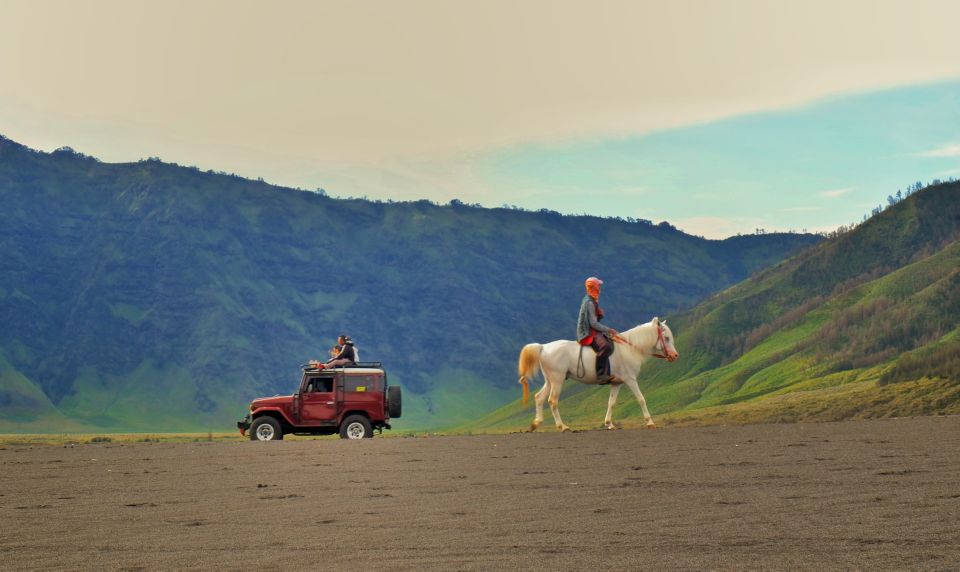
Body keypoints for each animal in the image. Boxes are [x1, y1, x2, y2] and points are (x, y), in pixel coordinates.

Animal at [516, 316, 676, 432]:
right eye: (667, 338)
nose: (675, 355)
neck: (629, 348)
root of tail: (543, 347)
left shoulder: (616, 383)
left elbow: (611, 403)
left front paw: (609, 424)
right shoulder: (631, 379)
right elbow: (641, 399)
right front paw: (650, 422)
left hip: (550, 381)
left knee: (539, 398)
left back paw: (535, 424)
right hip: (557, 381)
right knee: (552, 401)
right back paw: (563, 426)